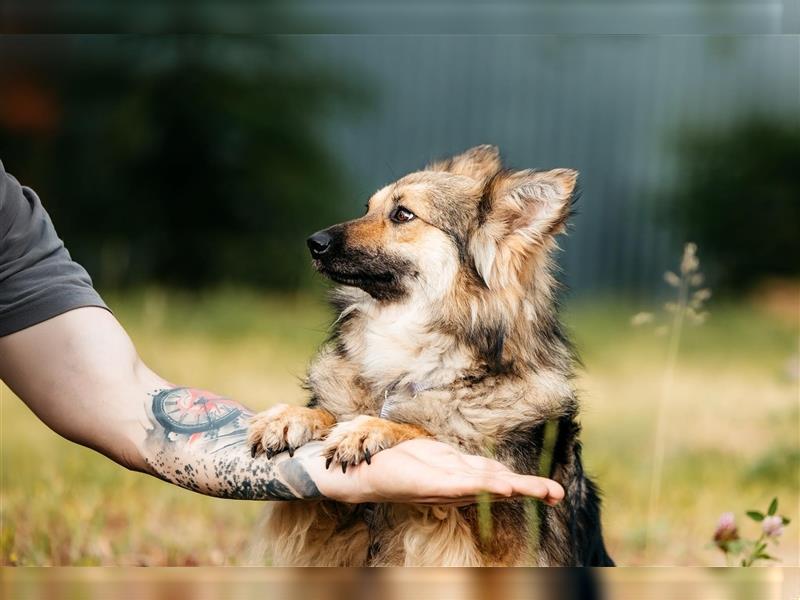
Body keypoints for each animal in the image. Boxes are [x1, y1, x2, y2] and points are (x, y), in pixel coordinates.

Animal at [248, 146, 612, 568]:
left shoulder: (502, 536)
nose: (313, 242)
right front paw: (292, 418)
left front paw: (373, 428)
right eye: (367, 208)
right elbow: (327, 423)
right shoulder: (329, 530)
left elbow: (425, 431)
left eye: (403, 214)